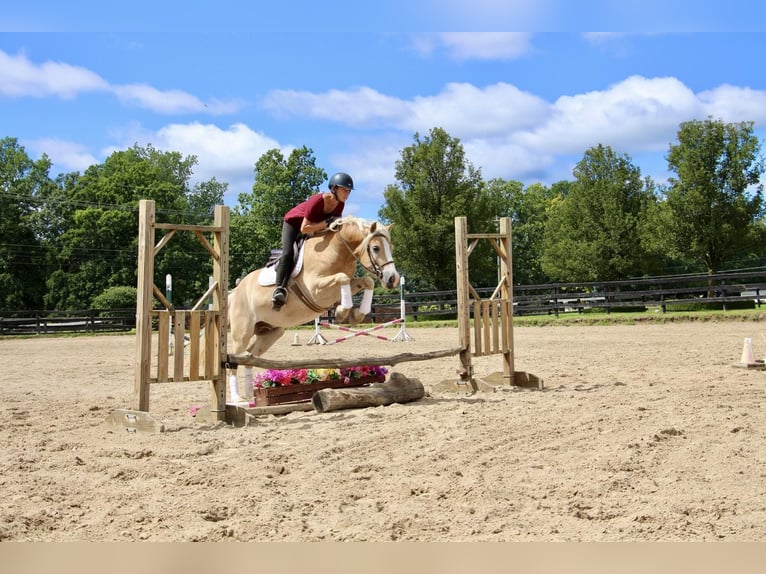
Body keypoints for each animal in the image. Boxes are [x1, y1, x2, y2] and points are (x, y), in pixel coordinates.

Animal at [226, 218, 402, 402]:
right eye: (375, 248)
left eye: (391, 247)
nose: (393, 279)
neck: (335, 251)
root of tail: (235, 291)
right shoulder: (315, 288)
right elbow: (343, 278)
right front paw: (342, 311)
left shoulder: (345, 285)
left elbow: (367, 281)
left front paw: (355, 314)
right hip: (242, 333)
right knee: (234, 360)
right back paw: (237, 399)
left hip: (271, 332)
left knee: (248, 357)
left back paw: (250, 396)